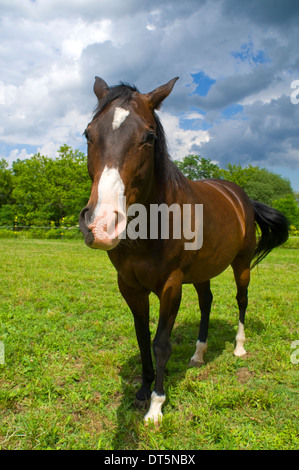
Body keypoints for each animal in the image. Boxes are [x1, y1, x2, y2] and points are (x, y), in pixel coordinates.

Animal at [78, 76, 290, 422]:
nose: (101, 224)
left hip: (242, 264)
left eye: (149, 137)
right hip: (203, 272)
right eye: (88, 133)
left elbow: (161, 343)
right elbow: (142, 337)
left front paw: (156, 405)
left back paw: (239, 347)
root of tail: (239, 196)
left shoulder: (171, 284)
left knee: (241, 300)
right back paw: (199, 354)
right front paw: (142, 390)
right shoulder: (129, 285)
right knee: (207, 303)